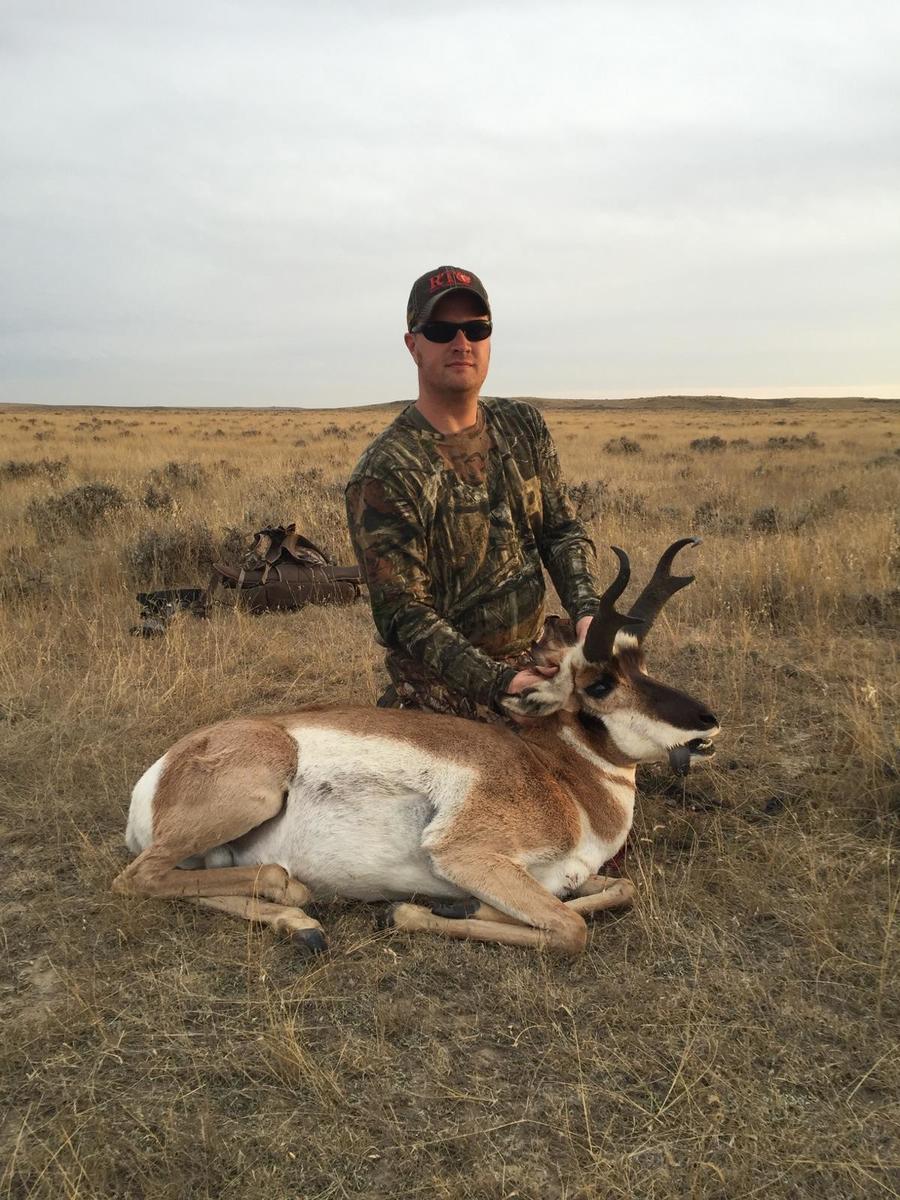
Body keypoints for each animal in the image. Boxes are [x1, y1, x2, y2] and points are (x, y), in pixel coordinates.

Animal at [114, 542, 720, 955]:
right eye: (599, 684)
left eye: (642, 664)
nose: (707, 723)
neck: (561, 779)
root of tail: (159, 772)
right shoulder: (467, 855)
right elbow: (570, 928)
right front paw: (419, 912)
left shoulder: (561, 878)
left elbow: (622, 889)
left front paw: (463, 905)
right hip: (256, 794)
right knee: (139, 878)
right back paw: (292, 895)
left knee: (175, 881)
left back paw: (302, 926)